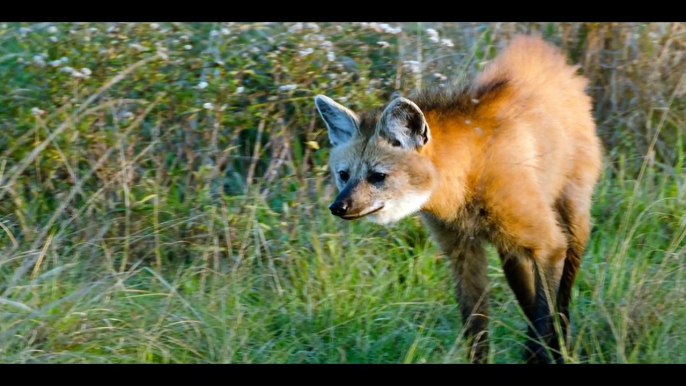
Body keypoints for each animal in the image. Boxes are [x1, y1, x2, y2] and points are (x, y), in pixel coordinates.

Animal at [314, 34, 604, 364]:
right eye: (344, 175)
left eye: (378, 176)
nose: (338, 207)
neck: (467, 177)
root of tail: (544, 48)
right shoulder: (463, 250)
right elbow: (476, 326)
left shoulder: (549, 244)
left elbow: (544, 316)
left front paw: (542, 353)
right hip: (510, 251)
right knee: (527, 296)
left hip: (569, 220)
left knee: (561, 299)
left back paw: (561, 346)